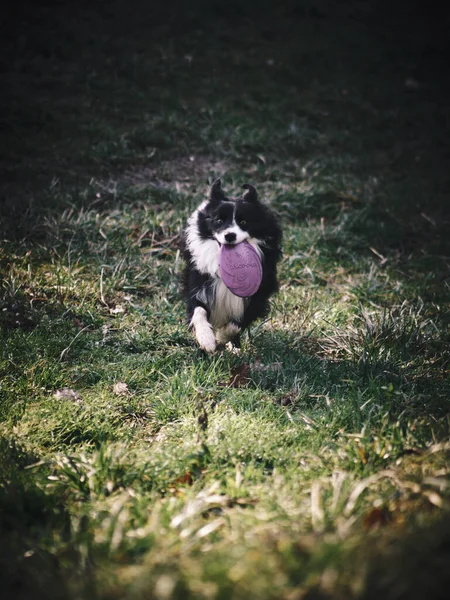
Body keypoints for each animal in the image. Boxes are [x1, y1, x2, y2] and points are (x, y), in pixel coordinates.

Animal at [180, 180, 282, 354]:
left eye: (243, 222)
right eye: (219, 221)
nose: (230, 236)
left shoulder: (258, 293)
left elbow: (238, 322)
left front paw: (222, 336)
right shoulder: (198, 284)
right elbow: (198, 311)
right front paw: (206, 339)